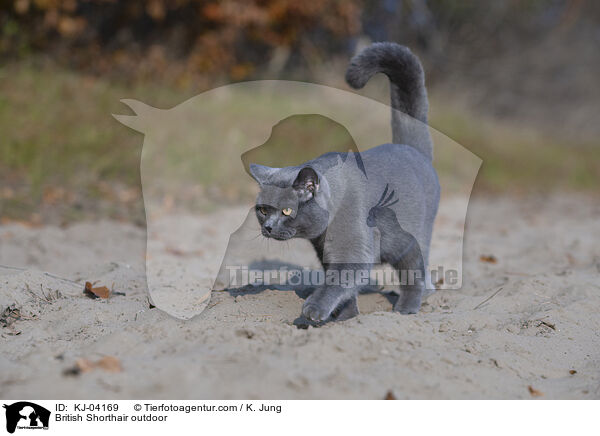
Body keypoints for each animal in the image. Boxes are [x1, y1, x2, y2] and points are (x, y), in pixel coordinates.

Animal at [248, 42, 440, 322]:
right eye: (262, 211)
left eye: (286, 211)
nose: (269, 227)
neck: (323, 231)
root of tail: (410, 148)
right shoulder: (326, 253)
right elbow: (344, 289)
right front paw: (346, 318)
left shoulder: (353, 249)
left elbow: (338, 280)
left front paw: (314, 310)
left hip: (410, 238)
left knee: (415, 270)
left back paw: (407, 308)